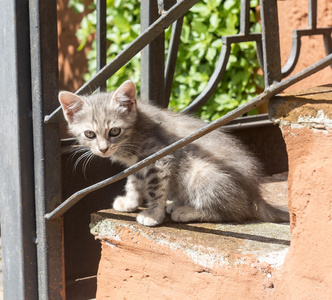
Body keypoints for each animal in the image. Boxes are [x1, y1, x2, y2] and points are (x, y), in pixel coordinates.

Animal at [59, 79, 288, 225]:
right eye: (90, 134)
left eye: (114, 131)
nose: (103, 149)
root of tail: (255, 196)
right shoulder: (137, 163)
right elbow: (134, 181)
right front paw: (131, 201)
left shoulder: (159, 157)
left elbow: (155, 189)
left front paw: (153, 215)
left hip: (202, 172)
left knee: (235, 213)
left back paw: (186, 211)